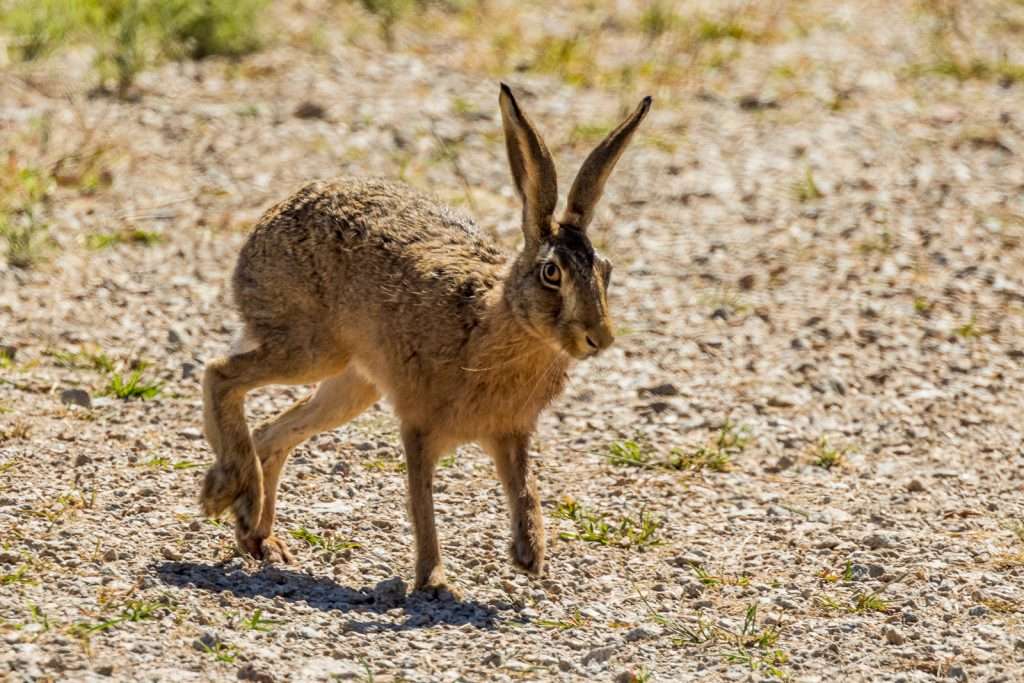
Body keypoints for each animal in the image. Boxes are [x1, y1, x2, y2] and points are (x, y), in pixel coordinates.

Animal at [199, 82, 651, 596]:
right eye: (551, 273)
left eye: (606, 270)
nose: (600, 337)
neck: (499, 318)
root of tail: (266, 223)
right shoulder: (419, 424)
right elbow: (422, 504)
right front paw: (435, 581)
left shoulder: (510, 432)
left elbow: (524, 488)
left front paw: (529, 553)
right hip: (310, 348)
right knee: (220, 375)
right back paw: (224, 492)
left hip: (353, 386)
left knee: (273, 432)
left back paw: (257, 533)